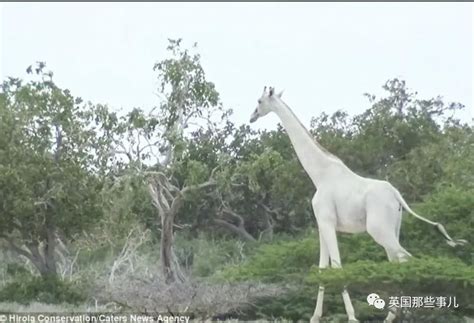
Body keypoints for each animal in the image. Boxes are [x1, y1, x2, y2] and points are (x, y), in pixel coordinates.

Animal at [250, 86, 468, 323]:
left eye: (259, 101)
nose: (252, 117)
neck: (319, 174)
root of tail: (396, 195)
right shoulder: (322, 225)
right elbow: (322, 268)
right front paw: (315, 317)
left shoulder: (326, 221)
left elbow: (337, 267)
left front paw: (352, 317)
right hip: (394, 227)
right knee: (396, 261)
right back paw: (393, 315)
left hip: (378, 229)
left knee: (406, 259)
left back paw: (409, 311)